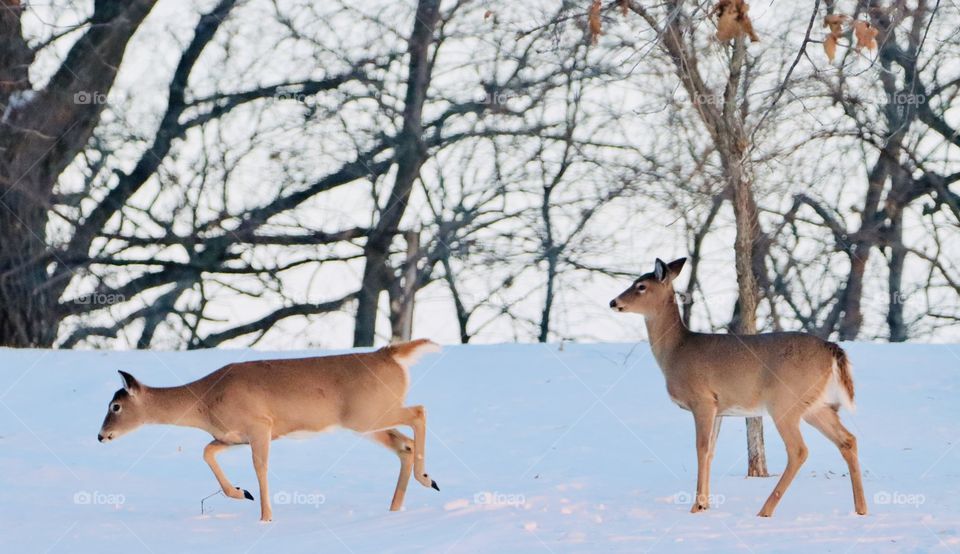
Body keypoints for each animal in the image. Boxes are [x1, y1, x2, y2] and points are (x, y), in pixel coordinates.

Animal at [97, 338, 442, 522]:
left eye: (115, 406)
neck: (204, 400)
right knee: (404, 444)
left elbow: (260, 467)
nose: (101, 436)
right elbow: (207, 451)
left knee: (419, 412)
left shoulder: (261, 424)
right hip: (367, 421)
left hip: (368, 414)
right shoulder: (231, 436)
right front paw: (241, 493)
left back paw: (427, 478)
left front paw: (265, 518)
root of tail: (390, 353)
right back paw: (398, 506)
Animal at [609, 258, 867, 517]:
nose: (613, 302)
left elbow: (701, 448)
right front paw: (705, 504)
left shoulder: (702, 399)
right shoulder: (719, 408)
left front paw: (696, 506)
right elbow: (711, 452)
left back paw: (765, 510)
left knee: (799, 450)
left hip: (785, 401)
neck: (676, 351)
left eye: (641, 286)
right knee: (848, 440)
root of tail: (831, 348)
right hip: (815, 405)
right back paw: (861, 509)